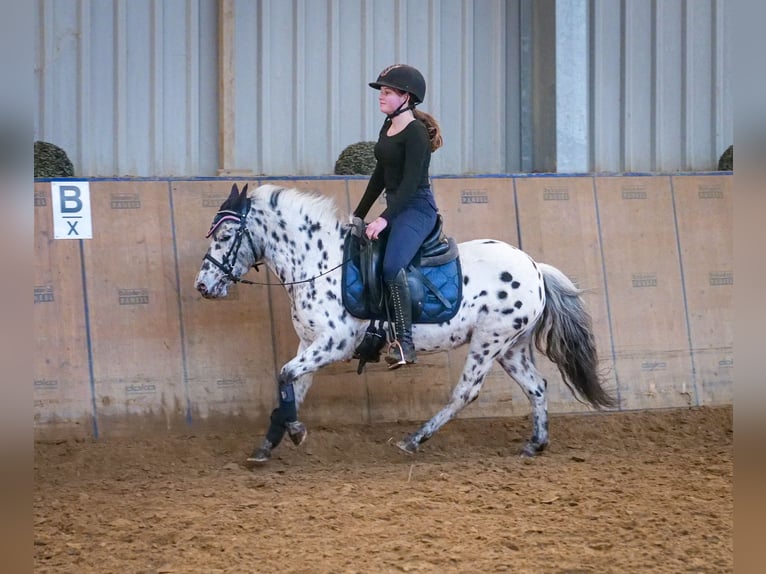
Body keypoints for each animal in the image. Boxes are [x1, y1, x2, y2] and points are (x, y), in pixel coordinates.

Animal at [196, 187, 616, 466]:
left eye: (226, 236)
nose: (203, 286)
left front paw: (295, 432)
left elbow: (284, 375)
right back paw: (535, 444)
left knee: (466, 392)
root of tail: (534, 268)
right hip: (511, 347)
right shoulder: (309, 343)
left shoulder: (334, 343)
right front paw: (268, 444)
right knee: (537, 386)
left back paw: (414, 439)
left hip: (489, 340)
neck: (318, 261)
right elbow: (291, 387)